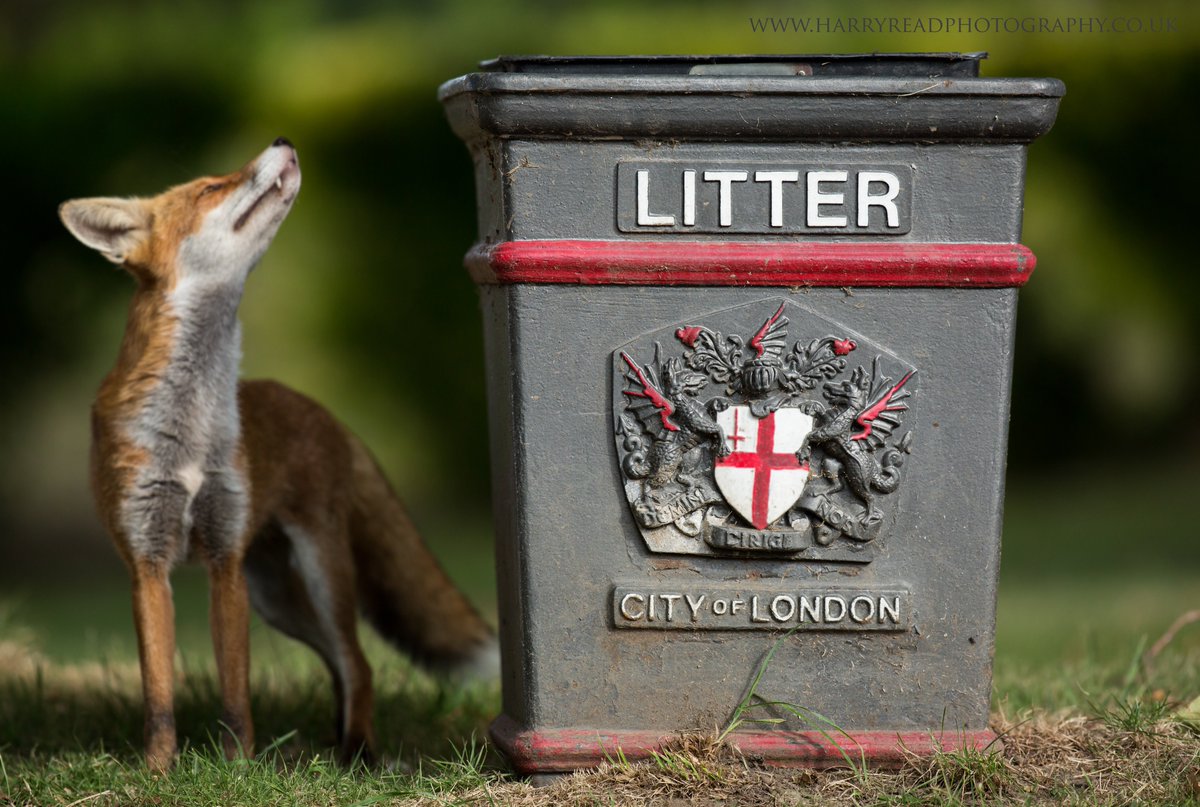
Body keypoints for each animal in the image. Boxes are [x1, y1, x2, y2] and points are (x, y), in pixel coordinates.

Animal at [58, 138, 497, 771]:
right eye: (208, 189)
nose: (282, 143)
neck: (190, 429)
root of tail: (324, 411)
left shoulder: (224, 559)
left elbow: (236, 692)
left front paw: (238, 766)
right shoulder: (147, 561)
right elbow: (158, 693)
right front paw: (160, 773)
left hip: (318, 571)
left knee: (359, 663)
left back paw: (359, 754)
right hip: (279, 597)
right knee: (344, 665)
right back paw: (338, 746)